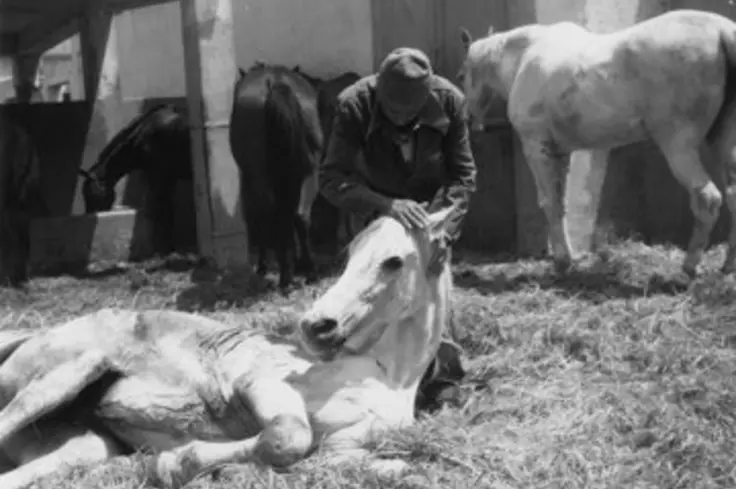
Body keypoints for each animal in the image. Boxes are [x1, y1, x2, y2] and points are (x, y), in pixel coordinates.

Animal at [0, 206, 458, 489]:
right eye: (348, 257)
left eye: (393, 261)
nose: (316, 325)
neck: (386, 376)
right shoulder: (259, 385)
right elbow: (287, 438)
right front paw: (172, 463)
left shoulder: (345, 449)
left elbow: (386, 466)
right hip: (65, 376)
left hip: (86, 444)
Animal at [78, 104, 193, 254]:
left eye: (89, 195)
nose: (91, 215)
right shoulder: (167, 178)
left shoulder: (159, 177)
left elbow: (163, 208)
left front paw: (166, 249)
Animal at [230, 62, 324, 290]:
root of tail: (277, 81)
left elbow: (257, 218)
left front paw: (264, 265)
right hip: (309, 173)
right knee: (300, 216)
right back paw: (309, 272)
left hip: (259, 178)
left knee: (267, 214)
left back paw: (283, 275)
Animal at [458, 9, 736, 277]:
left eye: (461, 75)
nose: (468, 118)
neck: (525, 56)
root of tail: (720, 30)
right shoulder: (561, 152)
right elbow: (561, 203)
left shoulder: (537, 148)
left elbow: (549, 202)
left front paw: (562, 262)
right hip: (722, 144)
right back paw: (727, 265)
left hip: (677, 145)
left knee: (707, 199)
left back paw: (688, 268)